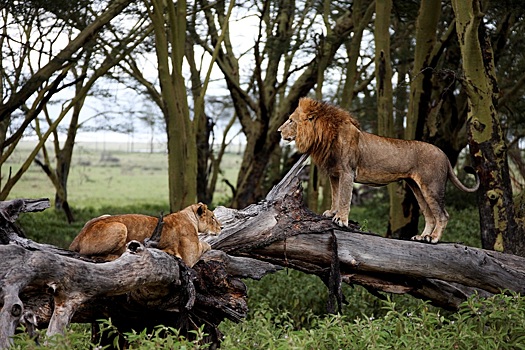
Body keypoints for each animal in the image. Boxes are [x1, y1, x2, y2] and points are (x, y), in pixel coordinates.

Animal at [68, 202, 221, 266]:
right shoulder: (190, 257)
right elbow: (205, 244)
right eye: (213, 217)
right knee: (93, 255)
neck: (189, 216)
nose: (222, 227)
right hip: (120, 227)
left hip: (105, 215)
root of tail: (77, 238)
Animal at [278, 96, 478, 243]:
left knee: (443, 215)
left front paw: (341, 219)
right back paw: (422, 237)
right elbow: (336, 195)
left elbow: (344, 198)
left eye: (290, 120)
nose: (279, 131)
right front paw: (332, 213)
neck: (324, 137)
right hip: (417, 187)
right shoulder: (334, 174)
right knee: (429, 214)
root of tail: (444, 155)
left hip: (432, 186)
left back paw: (434, 238)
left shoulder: (347, 172)